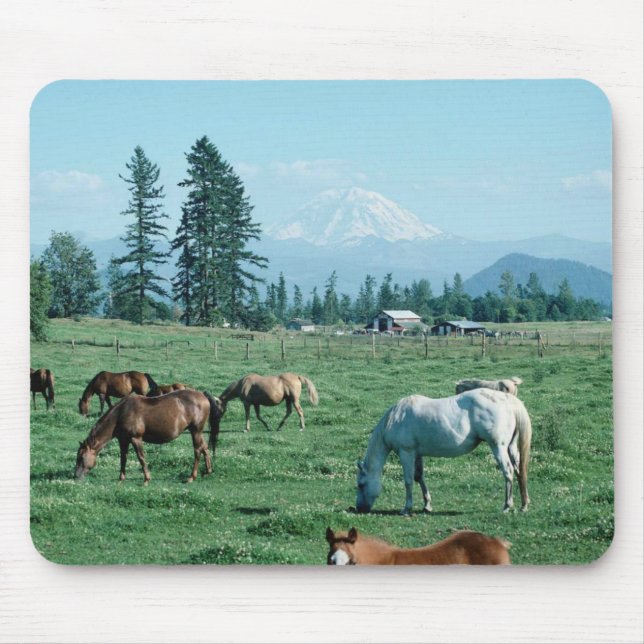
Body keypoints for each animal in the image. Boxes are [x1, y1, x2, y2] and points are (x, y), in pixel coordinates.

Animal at [75, 389, 225, 484]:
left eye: (81, 457)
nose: (75, 475)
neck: (121, 413)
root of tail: (202, 395)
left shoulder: (136, 439)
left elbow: (141, 458)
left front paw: (146, 479)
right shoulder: (123, 440)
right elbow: (123, 458)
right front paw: (121, 478)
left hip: (195, 431)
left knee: (198, 450)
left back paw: (191, 477)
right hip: (198, 432)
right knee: (205, 448)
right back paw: (208, 471)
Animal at [356, 389, 532, 515]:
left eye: (361, 484)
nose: (359, 508)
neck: (396, 418)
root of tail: (508, 400)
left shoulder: (406, 453)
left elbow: (408, 481)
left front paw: (406, 508)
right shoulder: (417, 454)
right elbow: (418, 477)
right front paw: (427, 505)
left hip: (498, 447)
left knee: (508, 472)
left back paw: (507, 506)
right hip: (510, 448)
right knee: (519, 471)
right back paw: (523, 505)